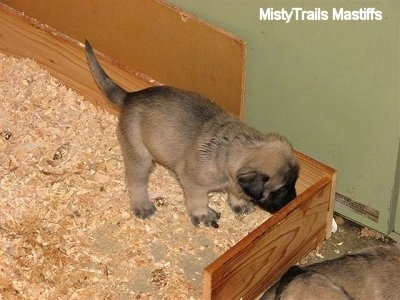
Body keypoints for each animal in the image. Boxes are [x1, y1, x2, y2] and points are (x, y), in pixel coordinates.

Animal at [84, 40, 298, 227]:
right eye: (281, 189)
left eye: (294, 182)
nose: (292, 201)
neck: (230, 148)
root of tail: (129, 97)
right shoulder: (195, 184)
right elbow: (198, 199)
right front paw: (203, 214)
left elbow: (237, 192)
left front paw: (240, 204)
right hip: (140, 157)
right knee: (136, 181)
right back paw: (143, 205)